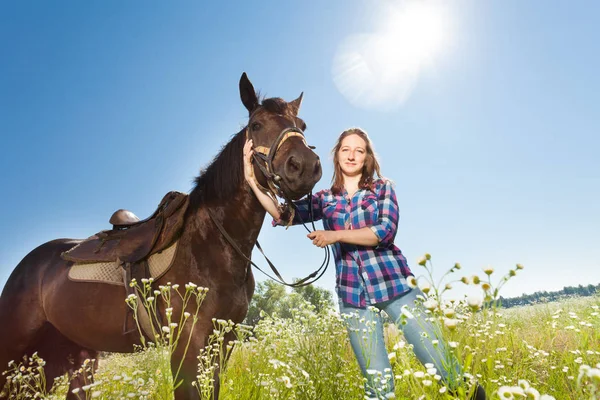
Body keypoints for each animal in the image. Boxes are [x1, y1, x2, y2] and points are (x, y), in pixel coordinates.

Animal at [0, 73, 322, 398]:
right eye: (256, 125)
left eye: (302, 125)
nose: (304, 167)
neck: (215, 242)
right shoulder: (188, 345)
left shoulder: (223, 342)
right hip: (14, 355)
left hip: (69, 359)